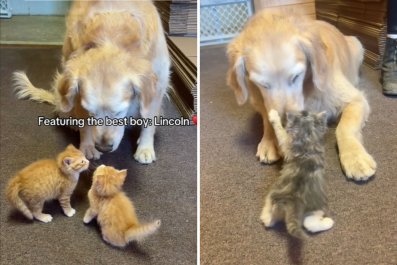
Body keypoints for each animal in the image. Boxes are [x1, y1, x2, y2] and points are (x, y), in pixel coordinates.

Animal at [13, 0, 169, 162]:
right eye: (91, 112)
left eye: (119, 112)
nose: (103, 147)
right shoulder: (77, 94)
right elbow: (85, 123)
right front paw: (87, 147)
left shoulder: (159, 83)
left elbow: (149, 121)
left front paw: (145, 148)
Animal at [226, 10, 374, 179]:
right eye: (263, 84)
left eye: (296, 76)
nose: (285, 124)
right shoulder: (260, 100)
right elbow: (267, 117)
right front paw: (268, 141)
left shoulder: (356, 100)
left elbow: (344, 127)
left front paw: (355, 157)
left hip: (357, 44)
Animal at [260, 108, 334, 238]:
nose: (304, 109)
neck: (308, 138)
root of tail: (293, 201)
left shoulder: (286, 143)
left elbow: (280, 131)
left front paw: (273, 115)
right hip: (315, 207)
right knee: (310, 223)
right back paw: (328, 222)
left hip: (273, 195)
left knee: (270, 218)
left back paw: (265, 216)